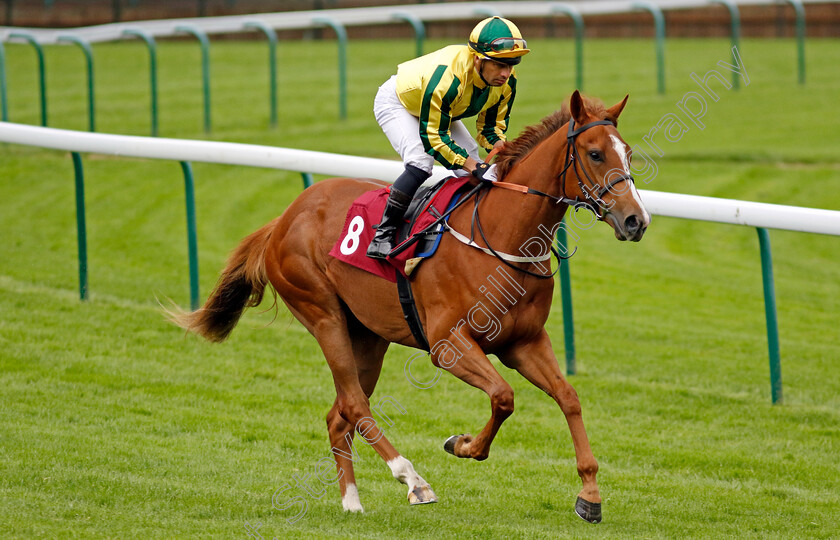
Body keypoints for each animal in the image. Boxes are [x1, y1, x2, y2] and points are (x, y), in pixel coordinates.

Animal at [171, 92, 648, 524]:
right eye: (594, 153)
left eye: (627, 153)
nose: (636, 221)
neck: (501, 235)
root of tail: (283, 219)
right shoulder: (448, 345)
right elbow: (503, 396)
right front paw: (462, 444)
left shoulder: (524, 342)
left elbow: (568, 398)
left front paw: (590, 493)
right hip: (322, 314)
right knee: (356, 406)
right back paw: (413, 480)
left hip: (368, 334)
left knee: (339, 413)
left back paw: (352, 501)